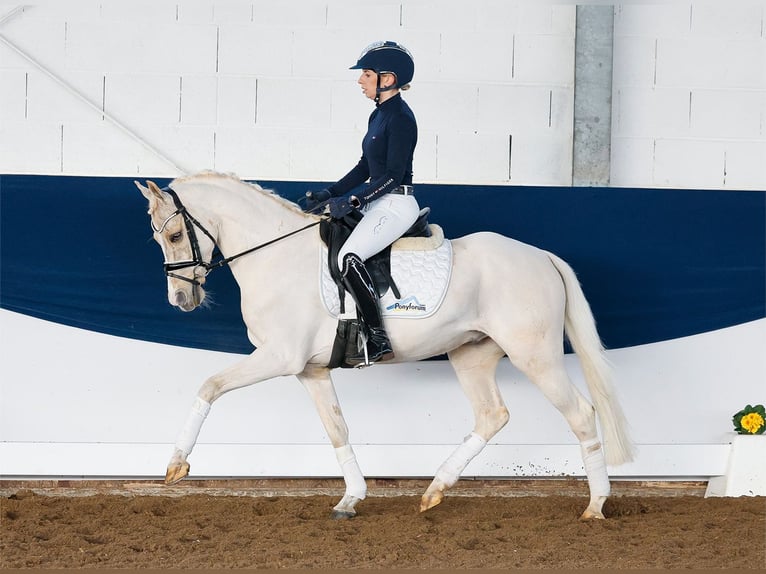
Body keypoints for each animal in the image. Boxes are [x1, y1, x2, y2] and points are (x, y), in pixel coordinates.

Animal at [136, 172, 636, 520]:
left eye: (176, 235)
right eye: (157, 237)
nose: (180, 301)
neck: (274, 255)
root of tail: (542, 257)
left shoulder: (278, 357)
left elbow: (209, 385)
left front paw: (176, 465)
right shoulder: (310, 370)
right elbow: (337, 429)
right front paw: (350, 500)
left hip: (535, 355)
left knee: (581, 414)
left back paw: (595, 506)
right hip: (472, 354)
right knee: (493, 415)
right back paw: (435, 490)